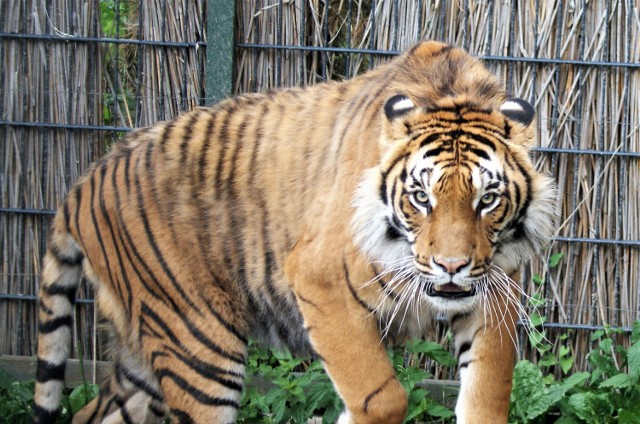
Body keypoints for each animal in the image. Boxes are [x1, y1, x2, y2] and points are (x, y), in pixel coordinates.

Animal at [32, 40, 556, 424]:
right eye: (421, 198)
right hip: (198, 345)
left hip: (143, 359)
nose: (452, 266)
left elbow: (487, 395)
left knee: (88, 414)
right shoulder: (320, 282)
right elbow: (380, 397)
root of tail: (82, 184)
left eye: (486, 200)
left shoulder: (494, 290)